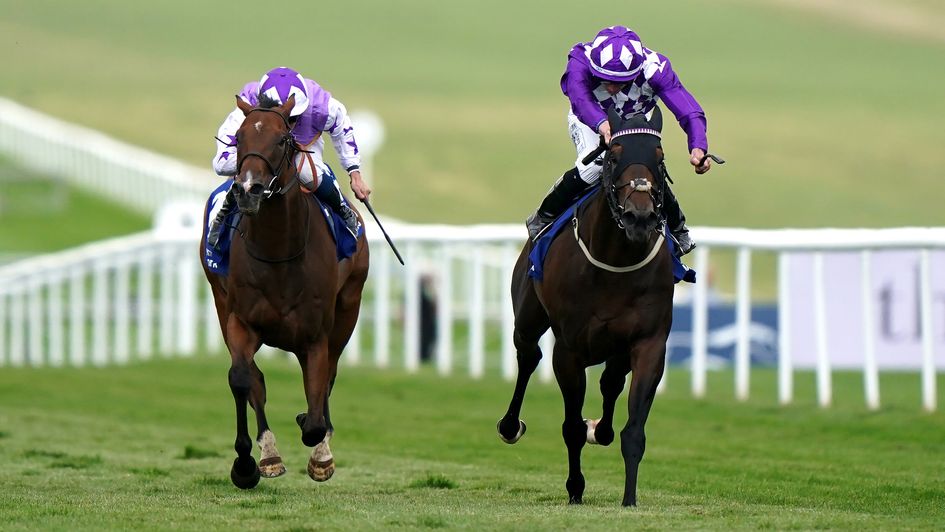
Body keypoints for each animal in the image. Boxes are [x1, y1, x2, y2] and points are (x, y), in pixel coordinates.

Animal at [202, 94, 368, 486]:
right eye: (239, 138)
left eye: (282, 139)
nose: (248, 190)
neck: (278, 251)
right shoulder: (240, 320)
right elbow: (243, 379)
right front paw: (247, 463)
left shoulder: (315, 335)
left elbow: (316, 400)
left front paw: (319, 450)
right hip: (221, 301)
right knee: (258, 380)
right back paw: (270, 454)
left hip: (348, 308)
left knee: (328, 376)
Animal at [498, 108, 676, 508]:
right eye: (612, 158)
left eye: (659, 160)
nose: (639, 217)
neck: (616, 259)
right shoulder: (569, 350)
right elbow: (571, 427)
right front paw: (575, 489)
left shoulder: (649, 343)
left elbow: (633, 430)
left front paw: (629, 499)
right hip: (528, 318)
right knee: (527, 357)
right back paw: (510, 425)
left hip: (617, 347)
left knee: (611, 381)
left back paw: (601, 429)